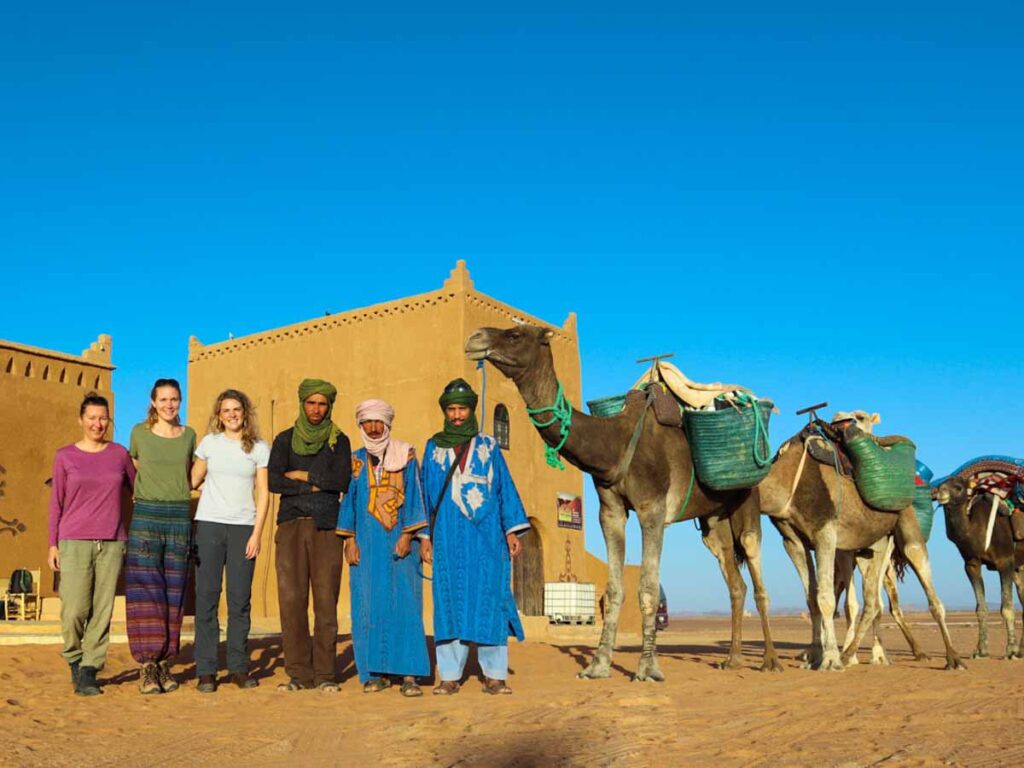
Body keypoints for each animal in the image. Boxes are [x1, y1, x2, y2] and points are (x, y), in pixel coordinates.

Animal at [466, 323, 782, 679]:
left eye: (515, 335)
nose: (475, 338)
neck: (613, 444)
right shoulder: (611, 511)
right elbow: (615, 589)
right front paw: (598, 664)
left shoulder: (652, 509)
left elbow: (647, 588)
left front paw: (648, 667)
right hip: (714, 521)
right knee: (735, 583)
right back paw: (733, 659)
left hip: (747, 501)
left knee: (757, 575)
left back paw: (770, 661)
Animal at [761, 421, 966, 671]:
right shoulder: (791, 540)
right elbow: (811, 598)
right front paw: (814, 656)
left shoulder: (825, 533)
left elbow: (825, 597)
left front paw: (830, 659)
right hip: (874, 543)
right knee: (872, 601)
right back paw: (852, 654)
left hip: (905, 523)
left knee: (924, 584)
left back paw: (953, 658)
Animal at [937, 479, 1024, 659]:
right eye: (941, 483)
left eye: (958, 487)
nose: (941, 492)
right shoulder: (972, 564)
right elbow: (981, 609)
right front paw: (980, 651)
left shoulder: (1005, 562)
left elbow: (1007, 607)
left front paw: (1010, 651)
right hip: (1019, 567)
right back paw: (1021, 651)